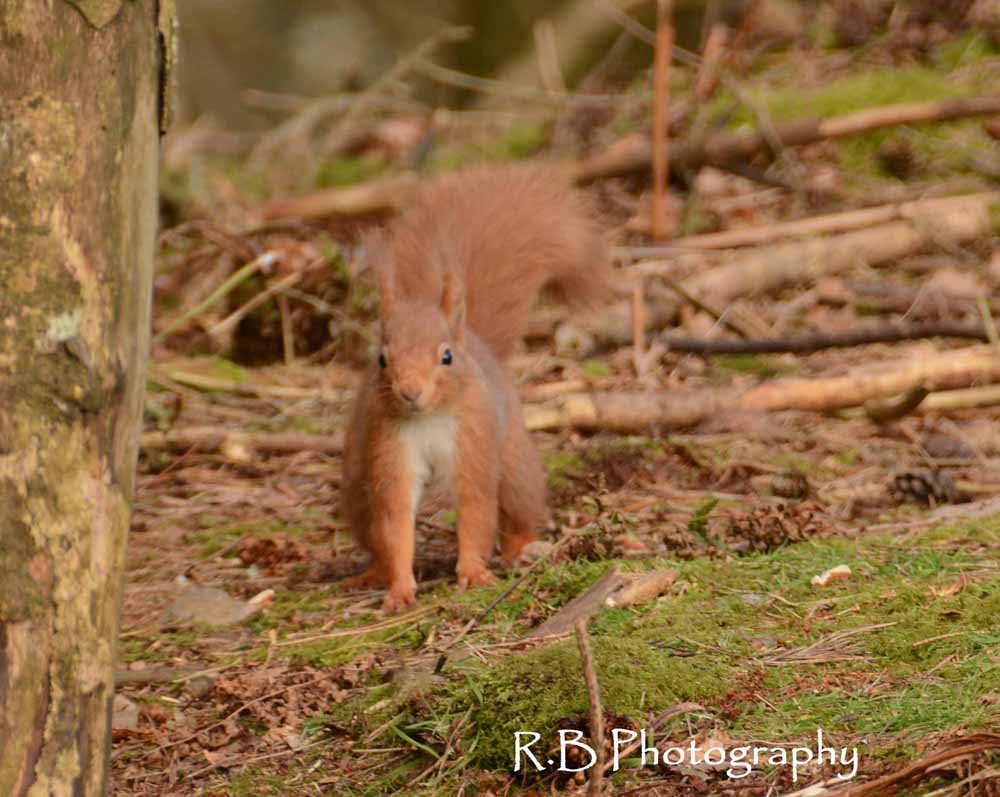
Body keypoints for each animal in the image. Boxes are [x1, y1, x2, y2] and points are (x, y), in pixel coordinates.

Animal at [341, 165, 611, 611]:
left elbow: (475, 506)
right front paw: (399, 588)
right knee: (373, 527)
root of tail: (481, 343)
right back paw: (372, 572)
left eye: (446, 357)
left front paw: (472, 572)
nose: (410, 392)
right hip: (357, 484)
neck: (429, 418)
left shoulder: (474, 439)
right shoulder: (390, 444)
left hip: (515, 462)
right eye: (381, 359)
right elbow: (396, 520)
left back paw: (520, 549)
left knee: (518, 504)